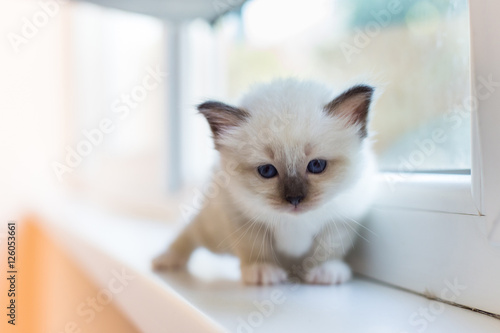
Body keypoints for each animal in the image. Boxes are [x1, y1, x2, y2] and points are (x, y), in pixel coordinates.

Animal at [154, 78, 376, 286]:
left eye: (317, 166)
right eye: (267, 171)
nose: (295, 199)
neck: (294, 222)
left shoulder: (340, 221)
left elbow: (329, 249)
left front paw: (325, 272)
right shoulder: (241, 218)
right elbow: (255, 247)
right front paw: (262, 271)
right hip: (213, 233)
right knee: (189, 232)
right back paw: (166, 259)